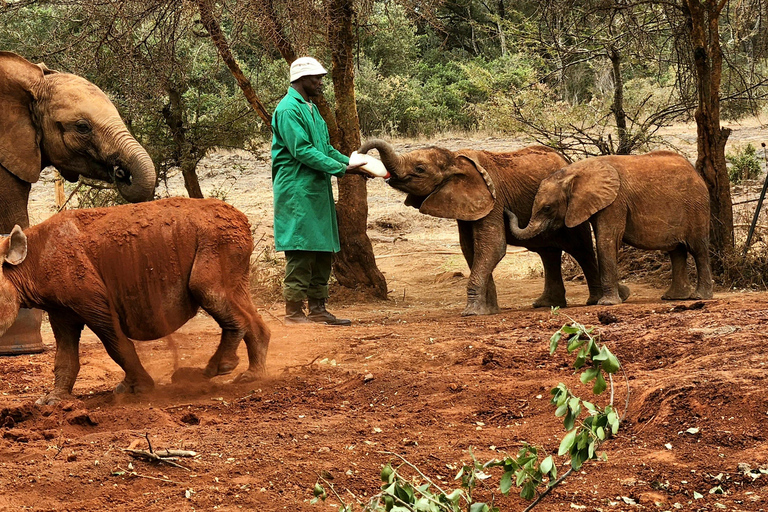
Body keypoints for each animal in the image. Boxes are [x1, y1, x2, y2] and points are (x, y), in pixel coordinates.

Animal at [0, 196, 270, 404]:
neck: (25, 265)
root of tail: (242, 219)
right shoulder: (60, 311)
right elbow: (65, 356)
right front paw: (53, 401)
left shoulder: (93, 302)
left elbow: (116, 344)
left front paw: (137, 388)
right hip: (225, 243)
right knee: (237, 297)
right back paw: (251, 376)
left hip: (216, 239)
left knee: (206, 289)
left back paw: (216, 369)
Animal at [356, 140, 628, 316]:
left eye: (420, 169)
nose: (360, 158)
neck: (455, 158)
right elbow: (470, 249)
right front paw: (489, 311)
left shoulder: (493, 200)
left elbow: (492, 246)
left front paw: (471, 313)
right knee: (548, 252)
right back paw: (546, 304)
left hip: (570, 206)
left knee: (580, 248)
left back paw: (598, 301)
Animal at [510, 151, 712, 304]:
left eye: (547, 208)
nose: (507, 211)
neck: (574, 171)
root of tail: (696, 173)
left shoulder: (615, 201)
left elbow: (606, 241)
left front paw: (607, 303)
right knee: (676, 251)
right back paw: (674, 298)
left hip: (696, 207)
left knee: (698, 250)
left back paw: (699, 297)